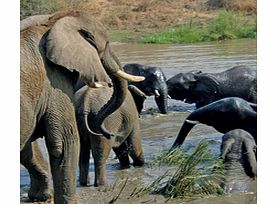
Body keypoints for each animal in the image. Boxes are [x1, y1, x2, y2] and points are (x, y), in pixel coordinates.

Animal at [20, 11, 143, 202]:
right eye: (107, 43)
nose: (110, 133)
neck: (51, 23)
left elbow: (28, 148)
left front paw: (41, 196)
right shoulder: (55, 83)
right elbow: (64, 143)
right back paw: (102, 186)